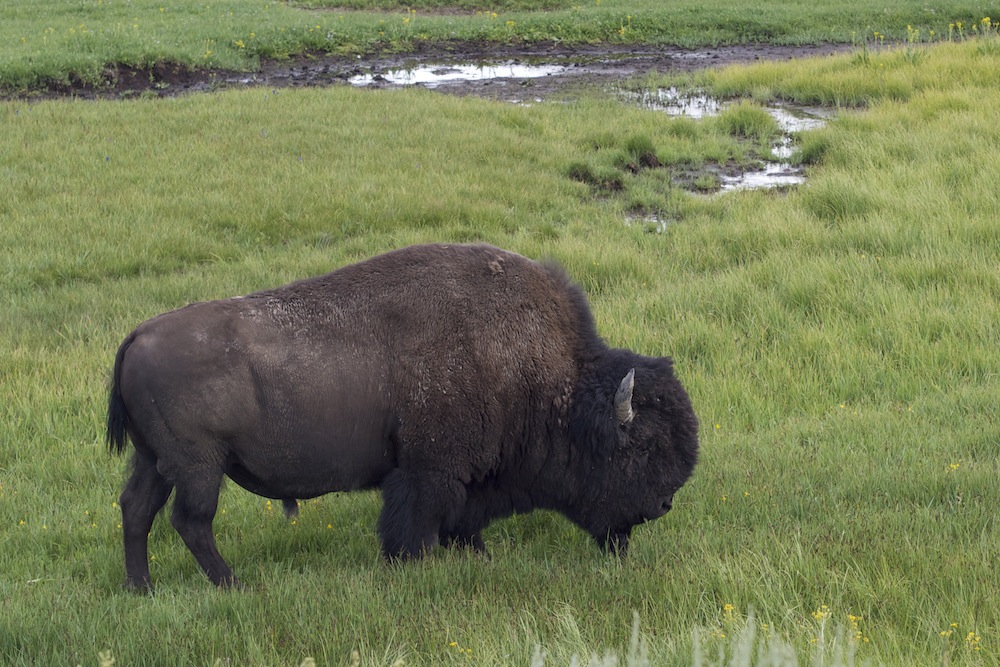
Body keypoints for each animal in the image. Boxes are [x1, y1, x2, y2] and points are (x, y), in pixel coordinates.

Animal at [103, 244, 696, 588]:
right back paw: (234, 584)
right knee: (190, 521)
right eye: (642, 446)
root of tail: (137, 336)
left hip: (154, 461)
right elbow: (417, 525)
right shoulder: (429, 472)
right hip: (199, 466)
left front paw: (475, 557)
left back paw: (142, 589)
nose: (664, 505)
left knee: (137, 510)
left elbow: (460, 524)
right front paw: (410, 567)